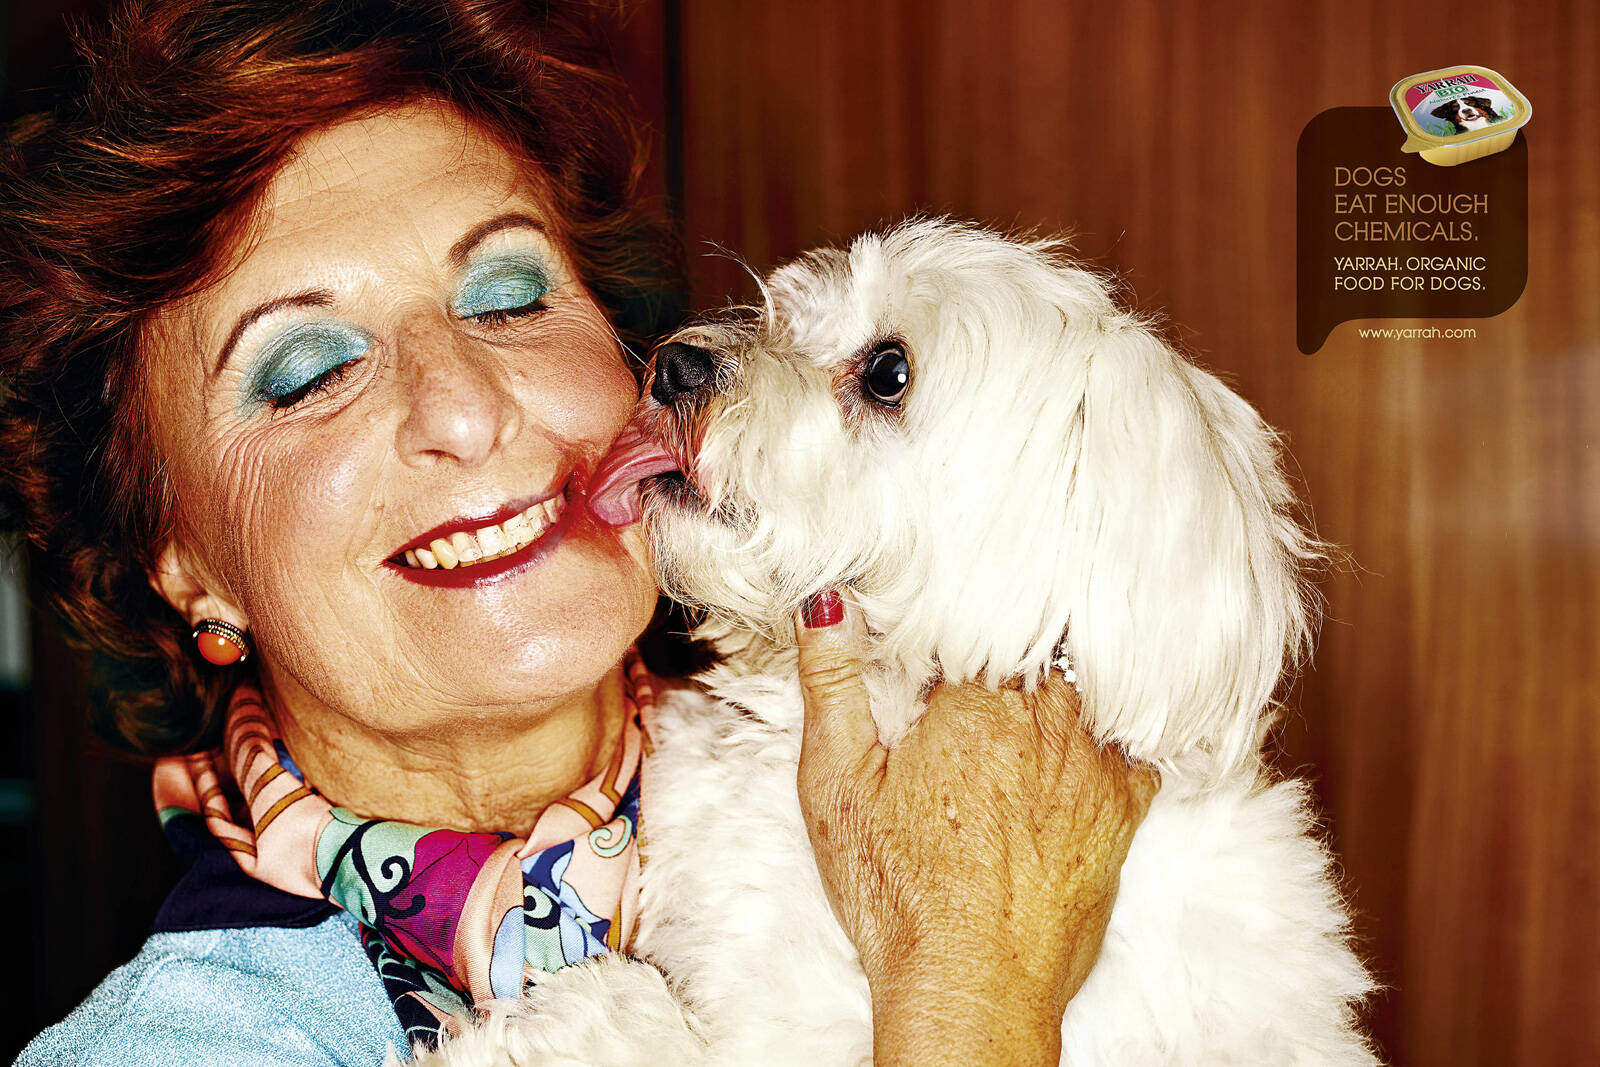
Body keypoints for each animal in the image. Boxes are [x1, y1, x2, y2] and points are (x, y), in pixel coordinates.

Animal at [406, 219, 1378, 1066]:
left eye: (888, 372)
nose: (676, 363)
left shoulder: (792, 1029)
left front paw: (534, 1028)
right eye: (786, 314)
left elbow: (644, 1023)